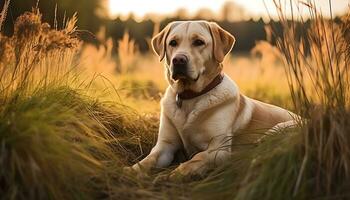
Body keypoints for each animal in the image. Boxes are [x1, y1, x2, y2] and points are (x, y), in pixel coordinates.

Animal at [127, 20, 296, 180]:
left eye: (199, 42)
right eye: (173, 43)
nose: (178, 60)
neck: (189, 97)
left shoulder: (219, 149)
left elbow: (197, 158)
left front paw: (175, 174)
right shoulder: (164, 146)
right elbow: (148, 160)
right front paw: (130, 171)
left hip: (278, 128)